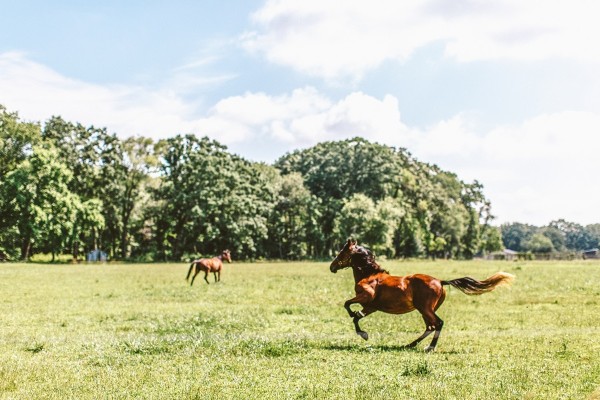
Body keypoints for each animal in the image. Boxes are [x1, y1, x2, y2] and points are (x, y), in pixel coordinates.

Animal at [330, 239, 512, 352]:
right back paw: (410, 344)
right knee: (430, 326)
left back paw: (429, 348)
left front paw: (363, 333)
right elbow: (357, 316)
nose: (332, 267)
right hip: (424, 309)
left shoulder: (367, 298)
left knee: (438, 323)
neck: (369, 274)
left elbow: (348, 306)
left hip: (425, 308)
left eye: (341, 253)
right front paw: (363, 332)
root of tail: (441, 281)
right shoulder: (371, 307)